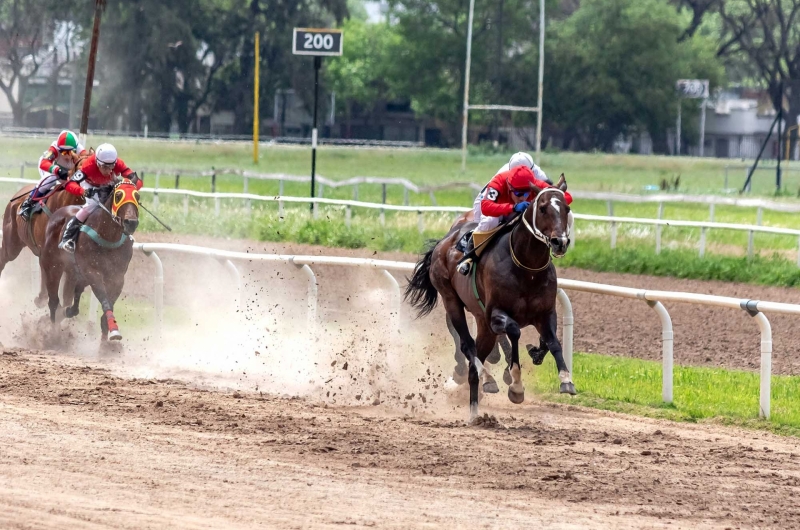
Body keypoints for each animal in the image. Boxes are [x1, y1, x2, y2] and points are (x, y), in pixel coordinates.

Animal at [40, 179, 141, 340]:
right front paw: (114, 330)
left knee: (74, 297)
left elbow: (107, 307)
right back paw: (54, 336)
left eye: (138, 196)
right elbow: (105, 301)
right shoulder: (93, 273)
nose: (131, 222)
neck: (108, 238)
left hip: (76, 274)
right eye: (118, 195)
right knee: (54, 302)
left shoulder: (117, 278)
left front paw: (107, 344)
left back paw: (67, 312)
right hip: (52, 267)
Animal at [406, 175, 576, 418]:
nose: (559, 242)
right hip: (452, 301)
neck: (527, 268)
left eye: (566, 208)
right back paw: (487, 378)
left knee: (476, 360)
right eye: (542, 208)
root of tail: (444, 242)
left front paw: (565, 380)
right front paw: (516, 386)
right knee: (467, 345)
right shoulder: (496, 314)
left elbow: (553, 342)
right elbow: (513, 331)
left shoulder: (545, 313)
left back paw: (475, 412)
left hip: (481, 320)